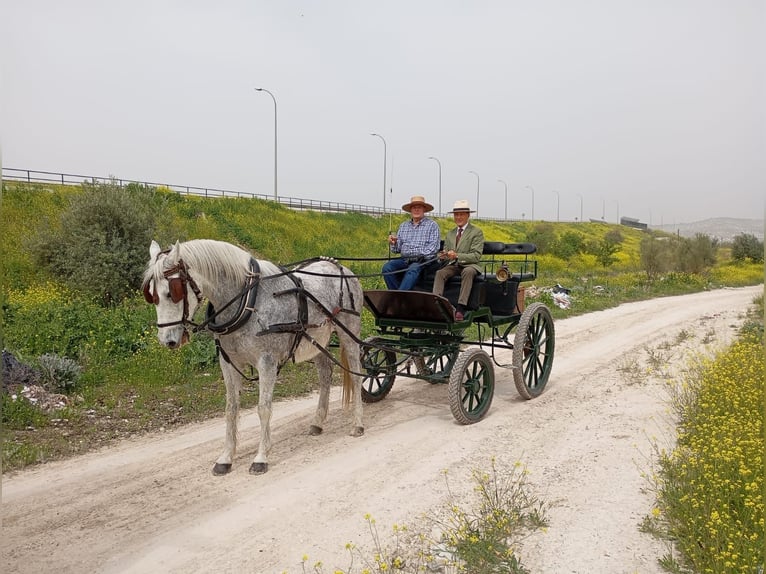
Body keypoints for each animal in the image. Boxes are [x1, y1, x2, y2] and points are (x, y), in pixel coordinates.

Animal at [143, 240, 366, 476]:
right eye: (151, 295)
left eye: (172, 292)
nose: (167, 341)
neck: (247, 302)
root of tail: (342, 268)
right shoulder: (228, 363)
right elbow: (231, 409)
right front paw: (225, 458)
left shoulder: (267, 362)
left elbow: (263, 408)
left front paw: (261, 457)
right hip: (317, 341)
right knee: (325, 375)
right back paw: (318, 422)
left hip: (349, 332)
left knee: (357, 375)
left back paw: (358, 423)